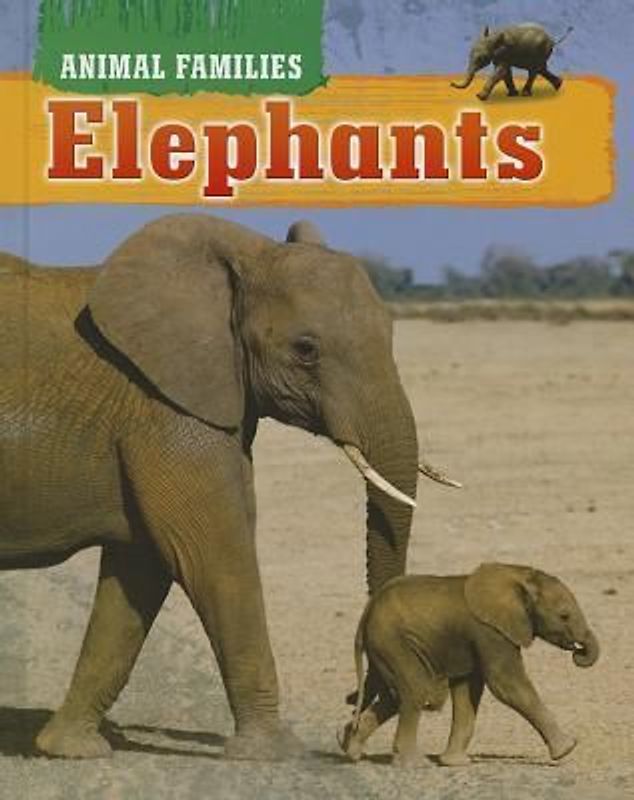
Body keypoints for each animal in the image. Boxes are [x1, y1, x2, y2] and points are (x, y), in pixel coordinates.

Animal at [0, 214, 458, 760]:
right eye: (306, 350)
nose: (349, 721)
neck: (248, 255)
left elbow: (141, 569)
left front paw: (71, 749)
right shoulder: (167, 413)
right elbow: (213, 555)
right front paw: (277, 752)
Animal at [338, 562, 599, 767]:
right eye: (564, 616)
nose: (578, 651)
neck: (519, 575)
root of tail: (366, 613)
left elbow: (468, 691)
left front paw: (455, 763)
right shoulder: (489, 631)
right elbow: (506, 684)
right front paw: (568, 748)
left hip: (384, 647)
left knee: (394, 697)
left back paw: (350, 749)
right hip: (392, 641)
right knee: (416, 690)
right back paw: (414, 764)